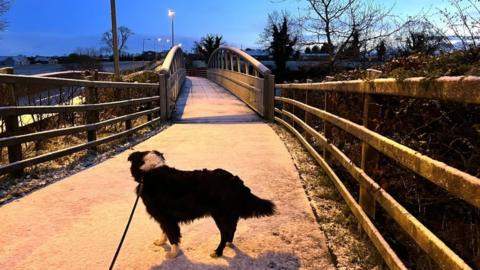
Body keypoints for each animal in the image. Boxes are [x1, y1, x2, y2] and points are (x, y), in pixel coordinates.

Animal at [127, 151, 276, 258]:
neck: (151, 172)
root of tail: (235, 180)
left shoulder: (167, 218)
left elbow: (172, 235)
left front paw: (173, 253)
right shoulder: (164, 217)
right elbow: (164, 231)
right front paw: (161, 242)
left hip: (220, 216)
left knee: (225, 233)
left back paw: (218, 252)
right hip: (228, 215)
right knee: (232, 230)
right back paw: (229, 244)